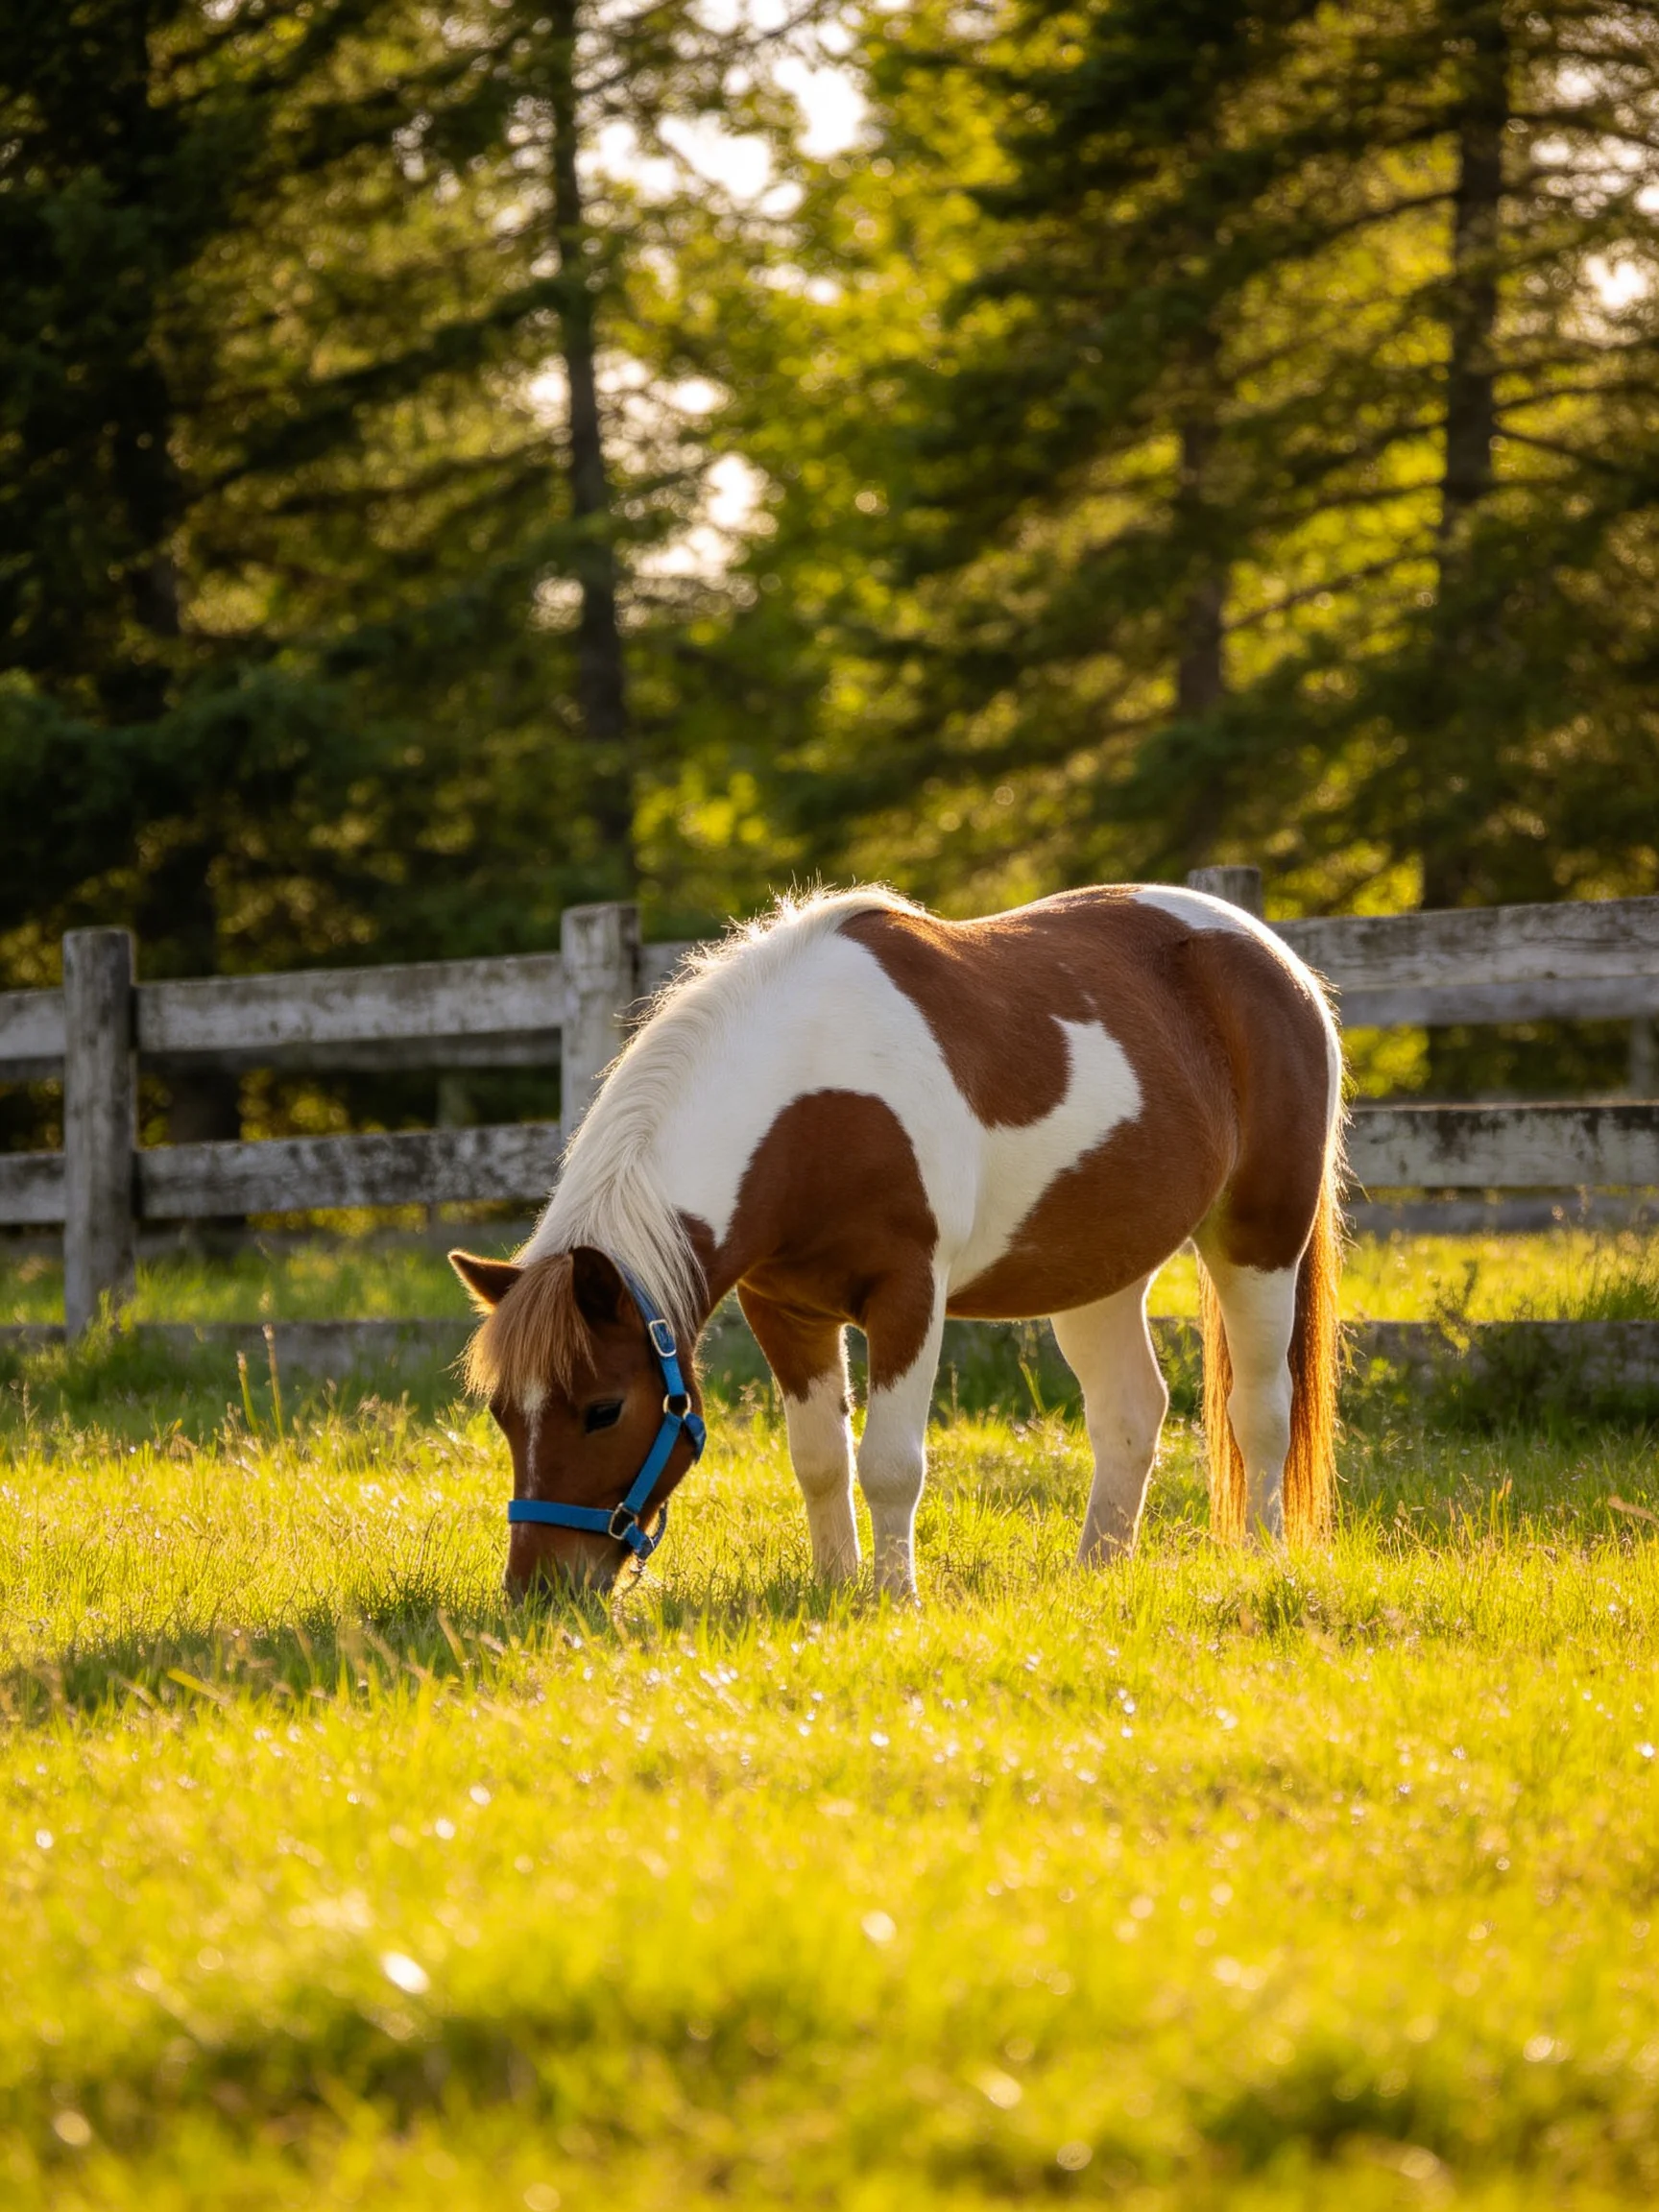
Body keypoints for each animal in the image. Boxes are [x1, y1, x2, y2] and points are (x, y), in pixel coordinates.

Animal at [451, 882, 1343, 1600]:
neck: (813, 1098)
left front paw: (892, 1597)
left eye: (603, 1409)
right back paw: (1097, 1571)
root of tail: (1274, 959)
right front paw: (835, 1587)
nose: (538, 1592)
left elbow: (890, 1465)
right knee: (1131, 1414)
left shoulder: (909, 1295)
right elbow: (821, 1461)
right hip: (1099, 1272)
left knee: (1260, 1408)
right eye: (501, 1413)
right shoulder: (786, 1310)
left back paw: (1264, 1560)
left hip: (1260, 1239)